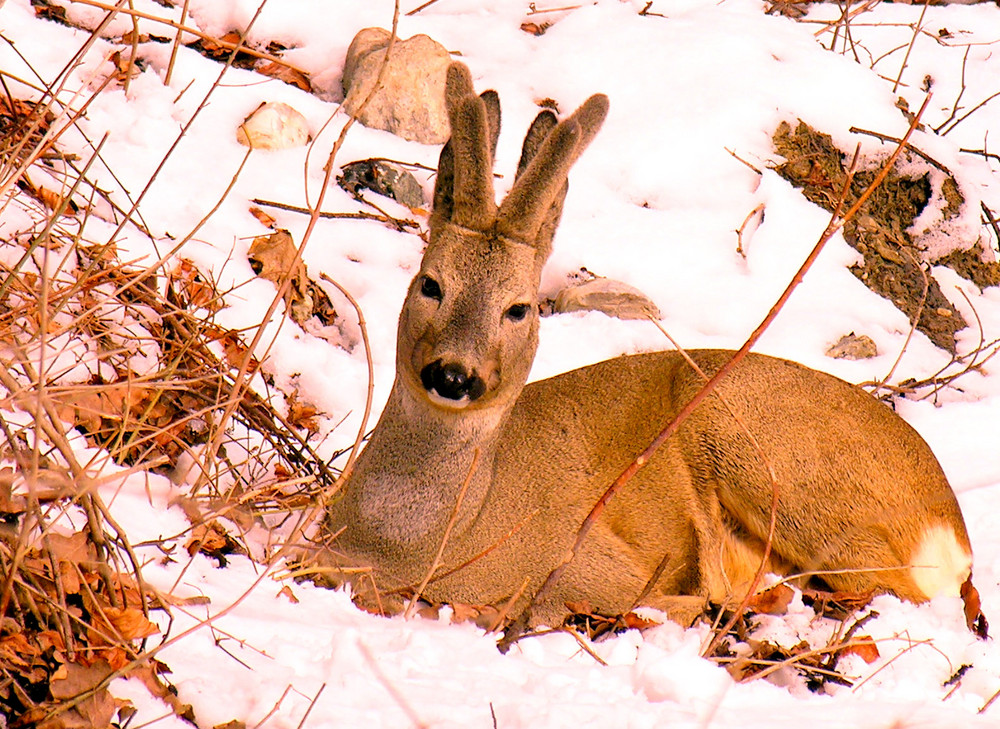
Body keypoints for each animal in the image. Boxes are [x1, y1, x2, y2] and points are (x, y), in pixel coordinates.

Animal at [320, 61, 984, 632]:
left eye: (519, 307)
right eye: (430, 283)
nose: (454, 375)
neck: (410, 542)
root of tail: (950, 521)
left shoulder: (592, 563)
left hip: (774, 459)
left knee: (898, 591)